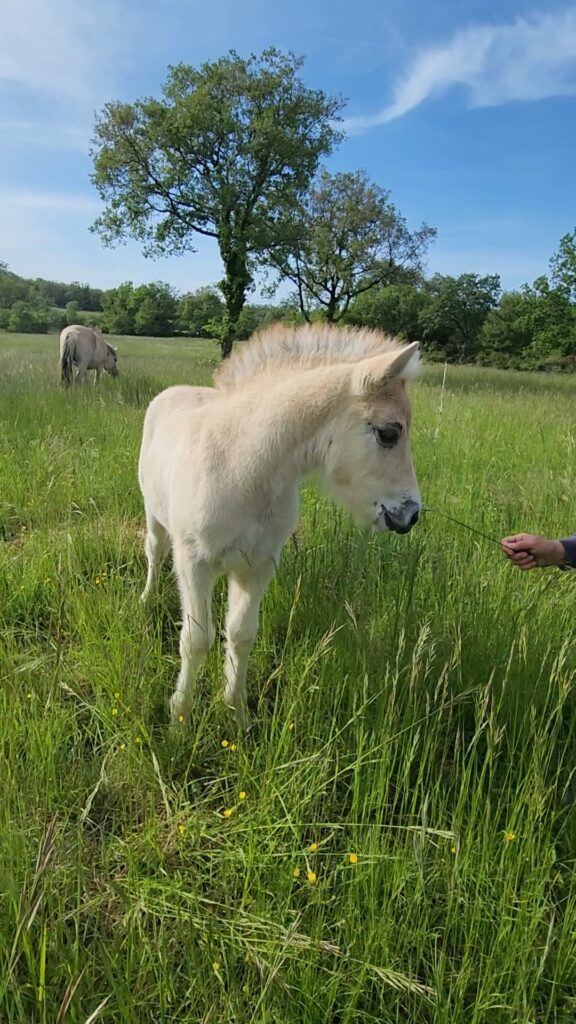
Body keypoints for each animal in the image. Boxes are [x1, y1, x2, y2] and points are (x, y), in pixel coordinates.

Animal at [138, 323, 421, 731]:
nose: (411, 514)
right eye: (388, 433)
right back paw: (146, 598)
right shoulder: (194, 563)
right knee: (154, 550)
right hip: (154, 514)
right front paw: (180, 718)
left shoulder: (257, 567)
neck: (241, 466)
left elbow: (241, 634)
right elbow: (195, 639)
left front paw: (237, 713)